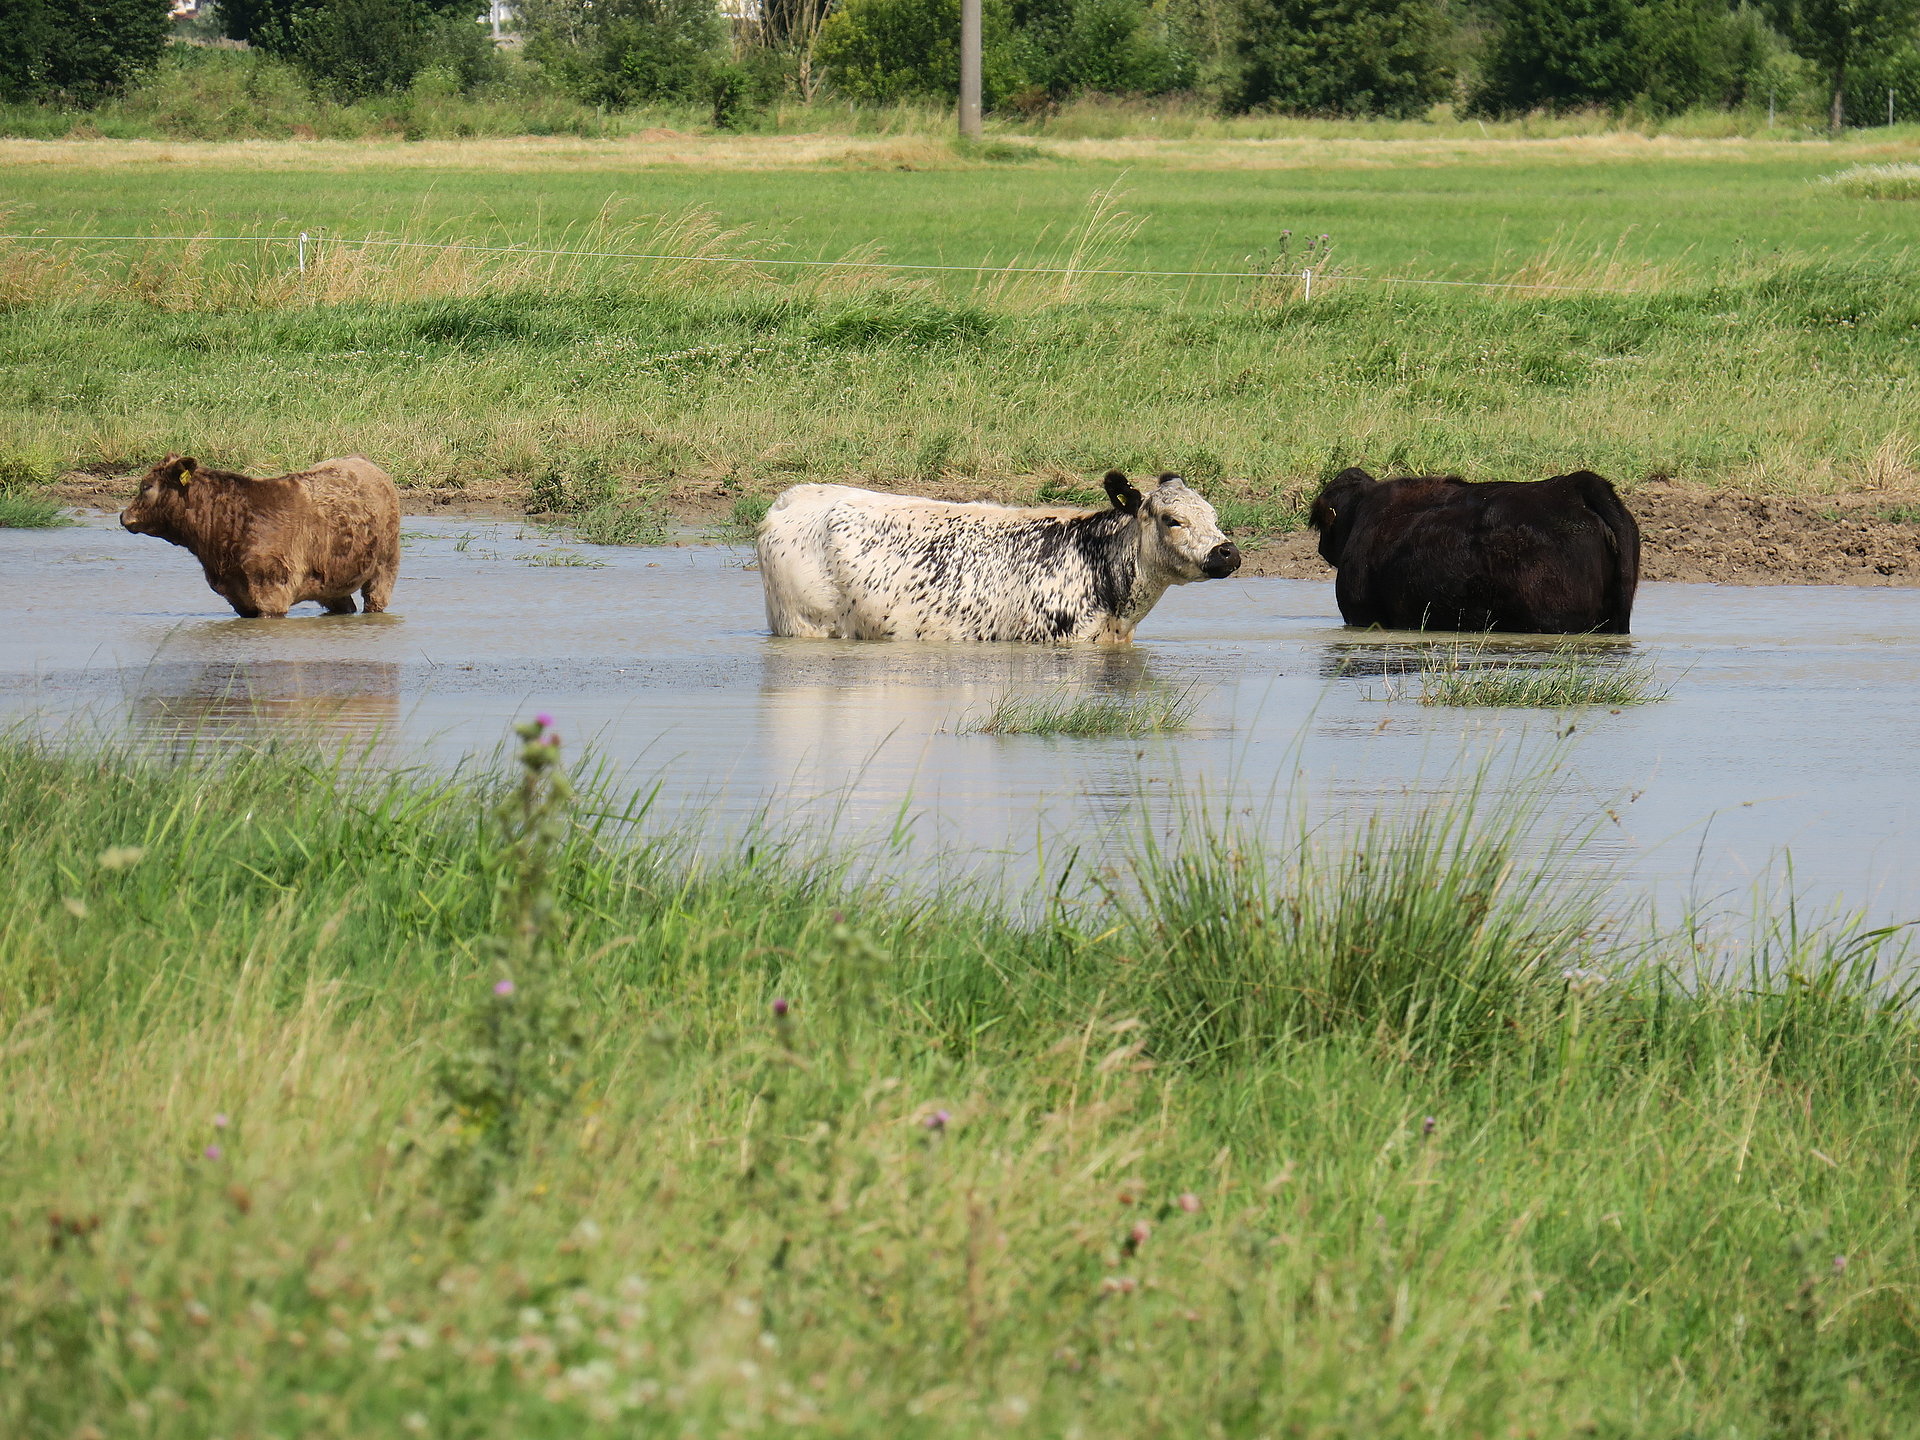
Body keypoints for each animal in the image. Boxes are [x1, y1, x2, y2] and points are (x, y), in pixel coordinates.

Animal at [120, 453, 401, 618]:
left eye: (146, 486)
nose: (123, 515)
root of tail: (360, 461)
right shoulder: (238, 598)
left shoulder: (272, 592)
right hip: (332, 583)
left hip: (385, 566)